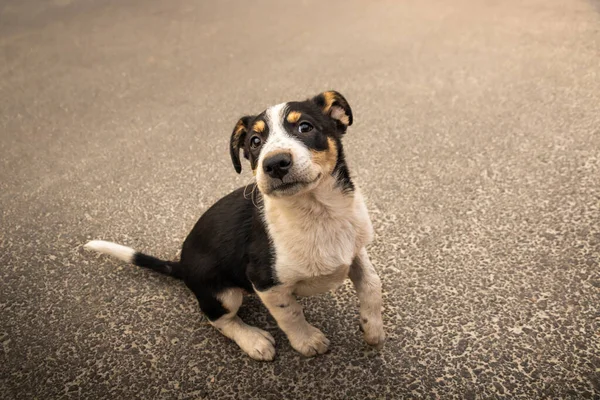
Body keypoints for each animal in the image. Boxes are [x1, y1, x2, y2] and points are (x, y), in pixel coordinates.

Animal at [84, 92, 384, 360]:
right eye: (255, 141)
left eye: (305, 127)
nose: (275, 164)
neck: (318, 212)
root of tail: (182, 265)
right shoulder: (266, 283)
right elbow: (291, 314)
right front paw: (307, 340)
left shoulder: (355, 250)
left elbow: (372, 283)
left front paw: (372, 328)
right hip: (223, 293)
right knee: (217, 319)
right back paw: (253, 340)